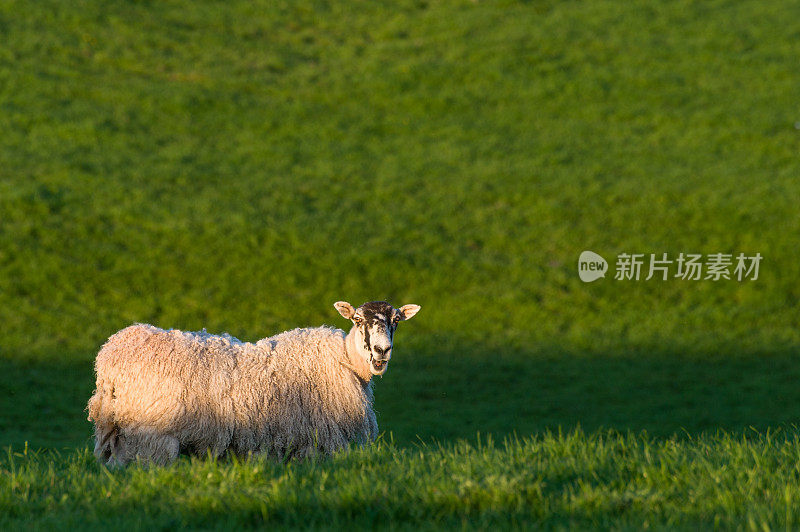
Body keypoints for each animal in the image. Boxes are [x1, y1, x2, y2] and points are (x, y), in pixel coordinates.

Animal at [87, 300, 422, 466]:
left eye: (396, 321)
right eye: (358, 320)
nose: (381, 350)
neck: (346, 359)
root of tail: (112, 352)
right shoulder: (317, 440)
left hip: (119, 433)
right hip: (152, 436)